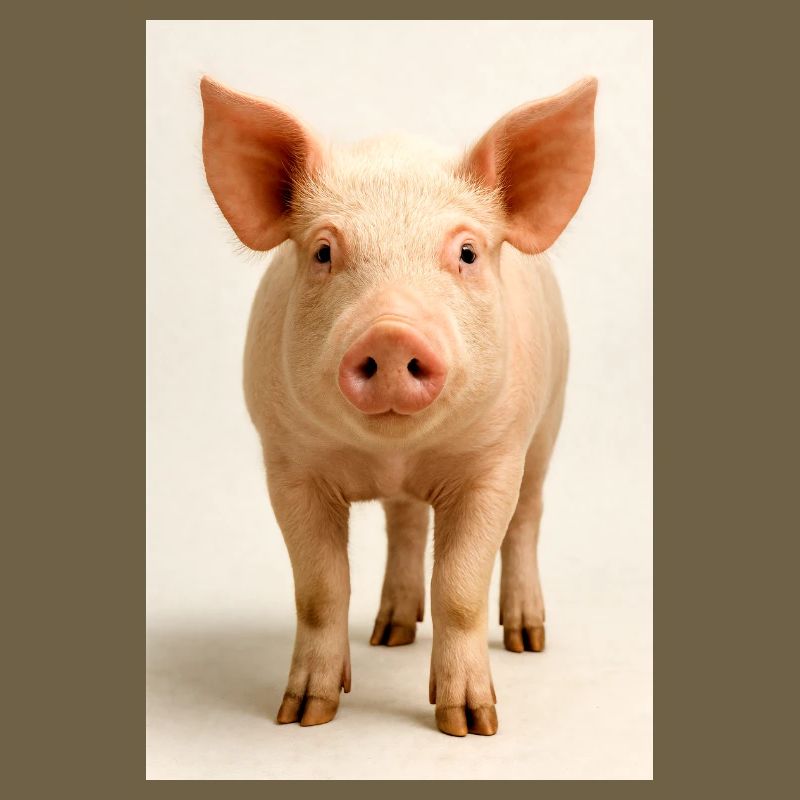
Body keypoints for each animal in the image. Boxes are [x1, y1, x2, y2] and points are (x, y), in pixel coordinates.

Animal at [200, 74, 597, 737]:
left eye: (466, 253)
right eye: (323, 252)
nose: (390, 333)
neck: (395, 454)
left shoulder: (494, 461)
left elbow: (460, 587)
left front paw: (472, 725)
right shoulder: (288, 463)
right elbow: (320, 588)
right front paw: (303, 716)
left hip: (550, 420)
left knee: (527, 519)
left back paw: (526, 639)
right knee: (406, 523)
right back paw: (389, 635)